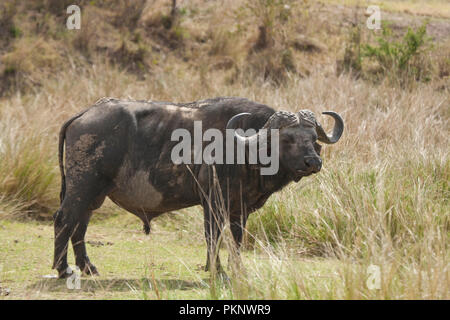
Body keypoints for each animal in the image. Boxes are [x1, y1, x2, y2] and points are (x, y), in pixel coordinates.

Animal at [52, 97, 342, 278]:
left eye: (312, 138)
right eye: (288, 139)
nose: (313, 162)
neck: (244, 149)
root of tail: (84, 114)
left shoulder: (240, 209)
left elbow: (237, 240)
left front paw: (237, 270)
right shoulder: (212, 202)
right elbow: (213, 237)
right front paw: (216, 270)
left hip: (93, 195)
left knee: (80, 225)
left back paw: (87, 267)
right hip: (82, 187)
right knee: (64, 219)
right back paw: (62, 269)